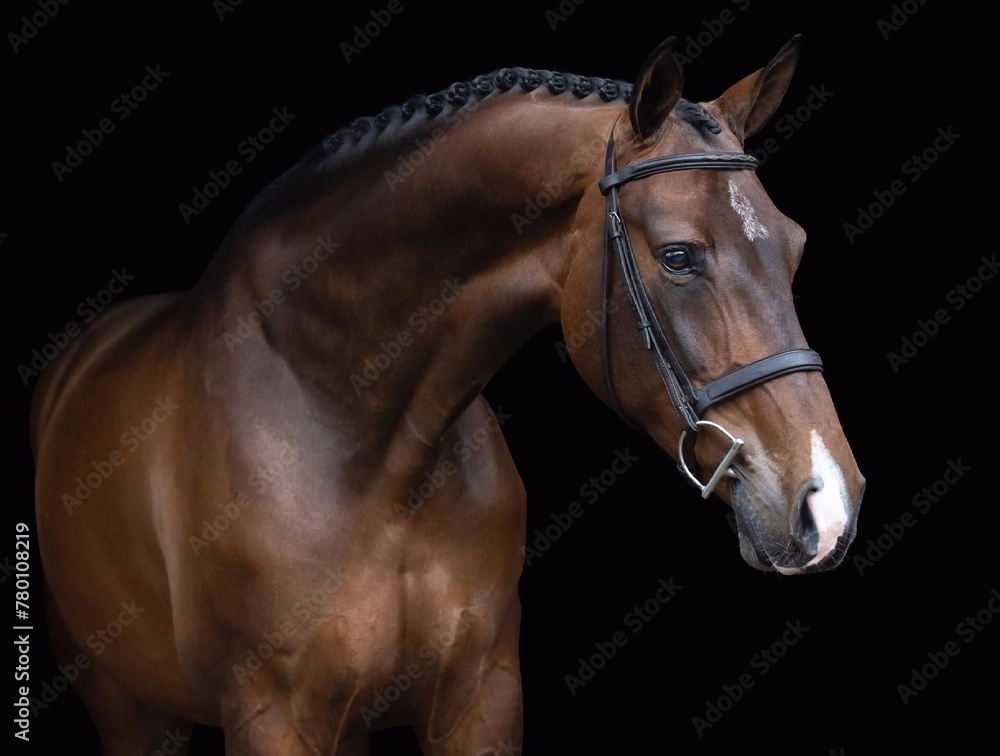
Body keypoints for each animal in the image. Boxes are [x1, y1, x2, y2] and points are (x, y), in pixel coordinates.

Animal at [30, 34, 864, 754]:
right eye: (679, 256)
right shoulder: (272, 718)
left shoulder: (481, 698)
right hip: (131, 711)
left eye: (794, 247)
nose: (829, 503)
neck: (359, 438)